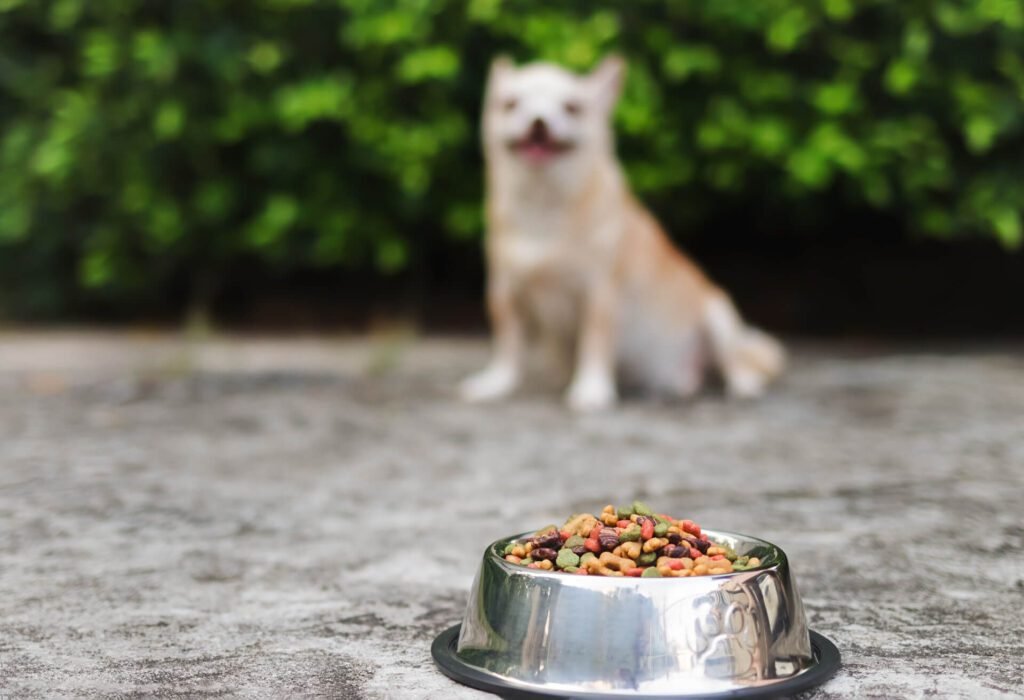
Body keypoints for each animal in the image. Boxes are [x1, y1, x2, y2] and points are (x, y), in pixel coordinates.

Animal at [458, 57, 782, 413]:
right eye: (511, 104)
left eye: (572, 107)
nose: (539, 122)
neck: (543, 204)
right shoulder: (504, 291)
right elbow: (507, 345)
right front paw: (497, 382)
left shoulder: (599, 292)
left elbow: (594, 342)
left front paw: (591, 389)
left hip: (717, 313)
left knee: (734, 360)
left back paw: (744, 385)